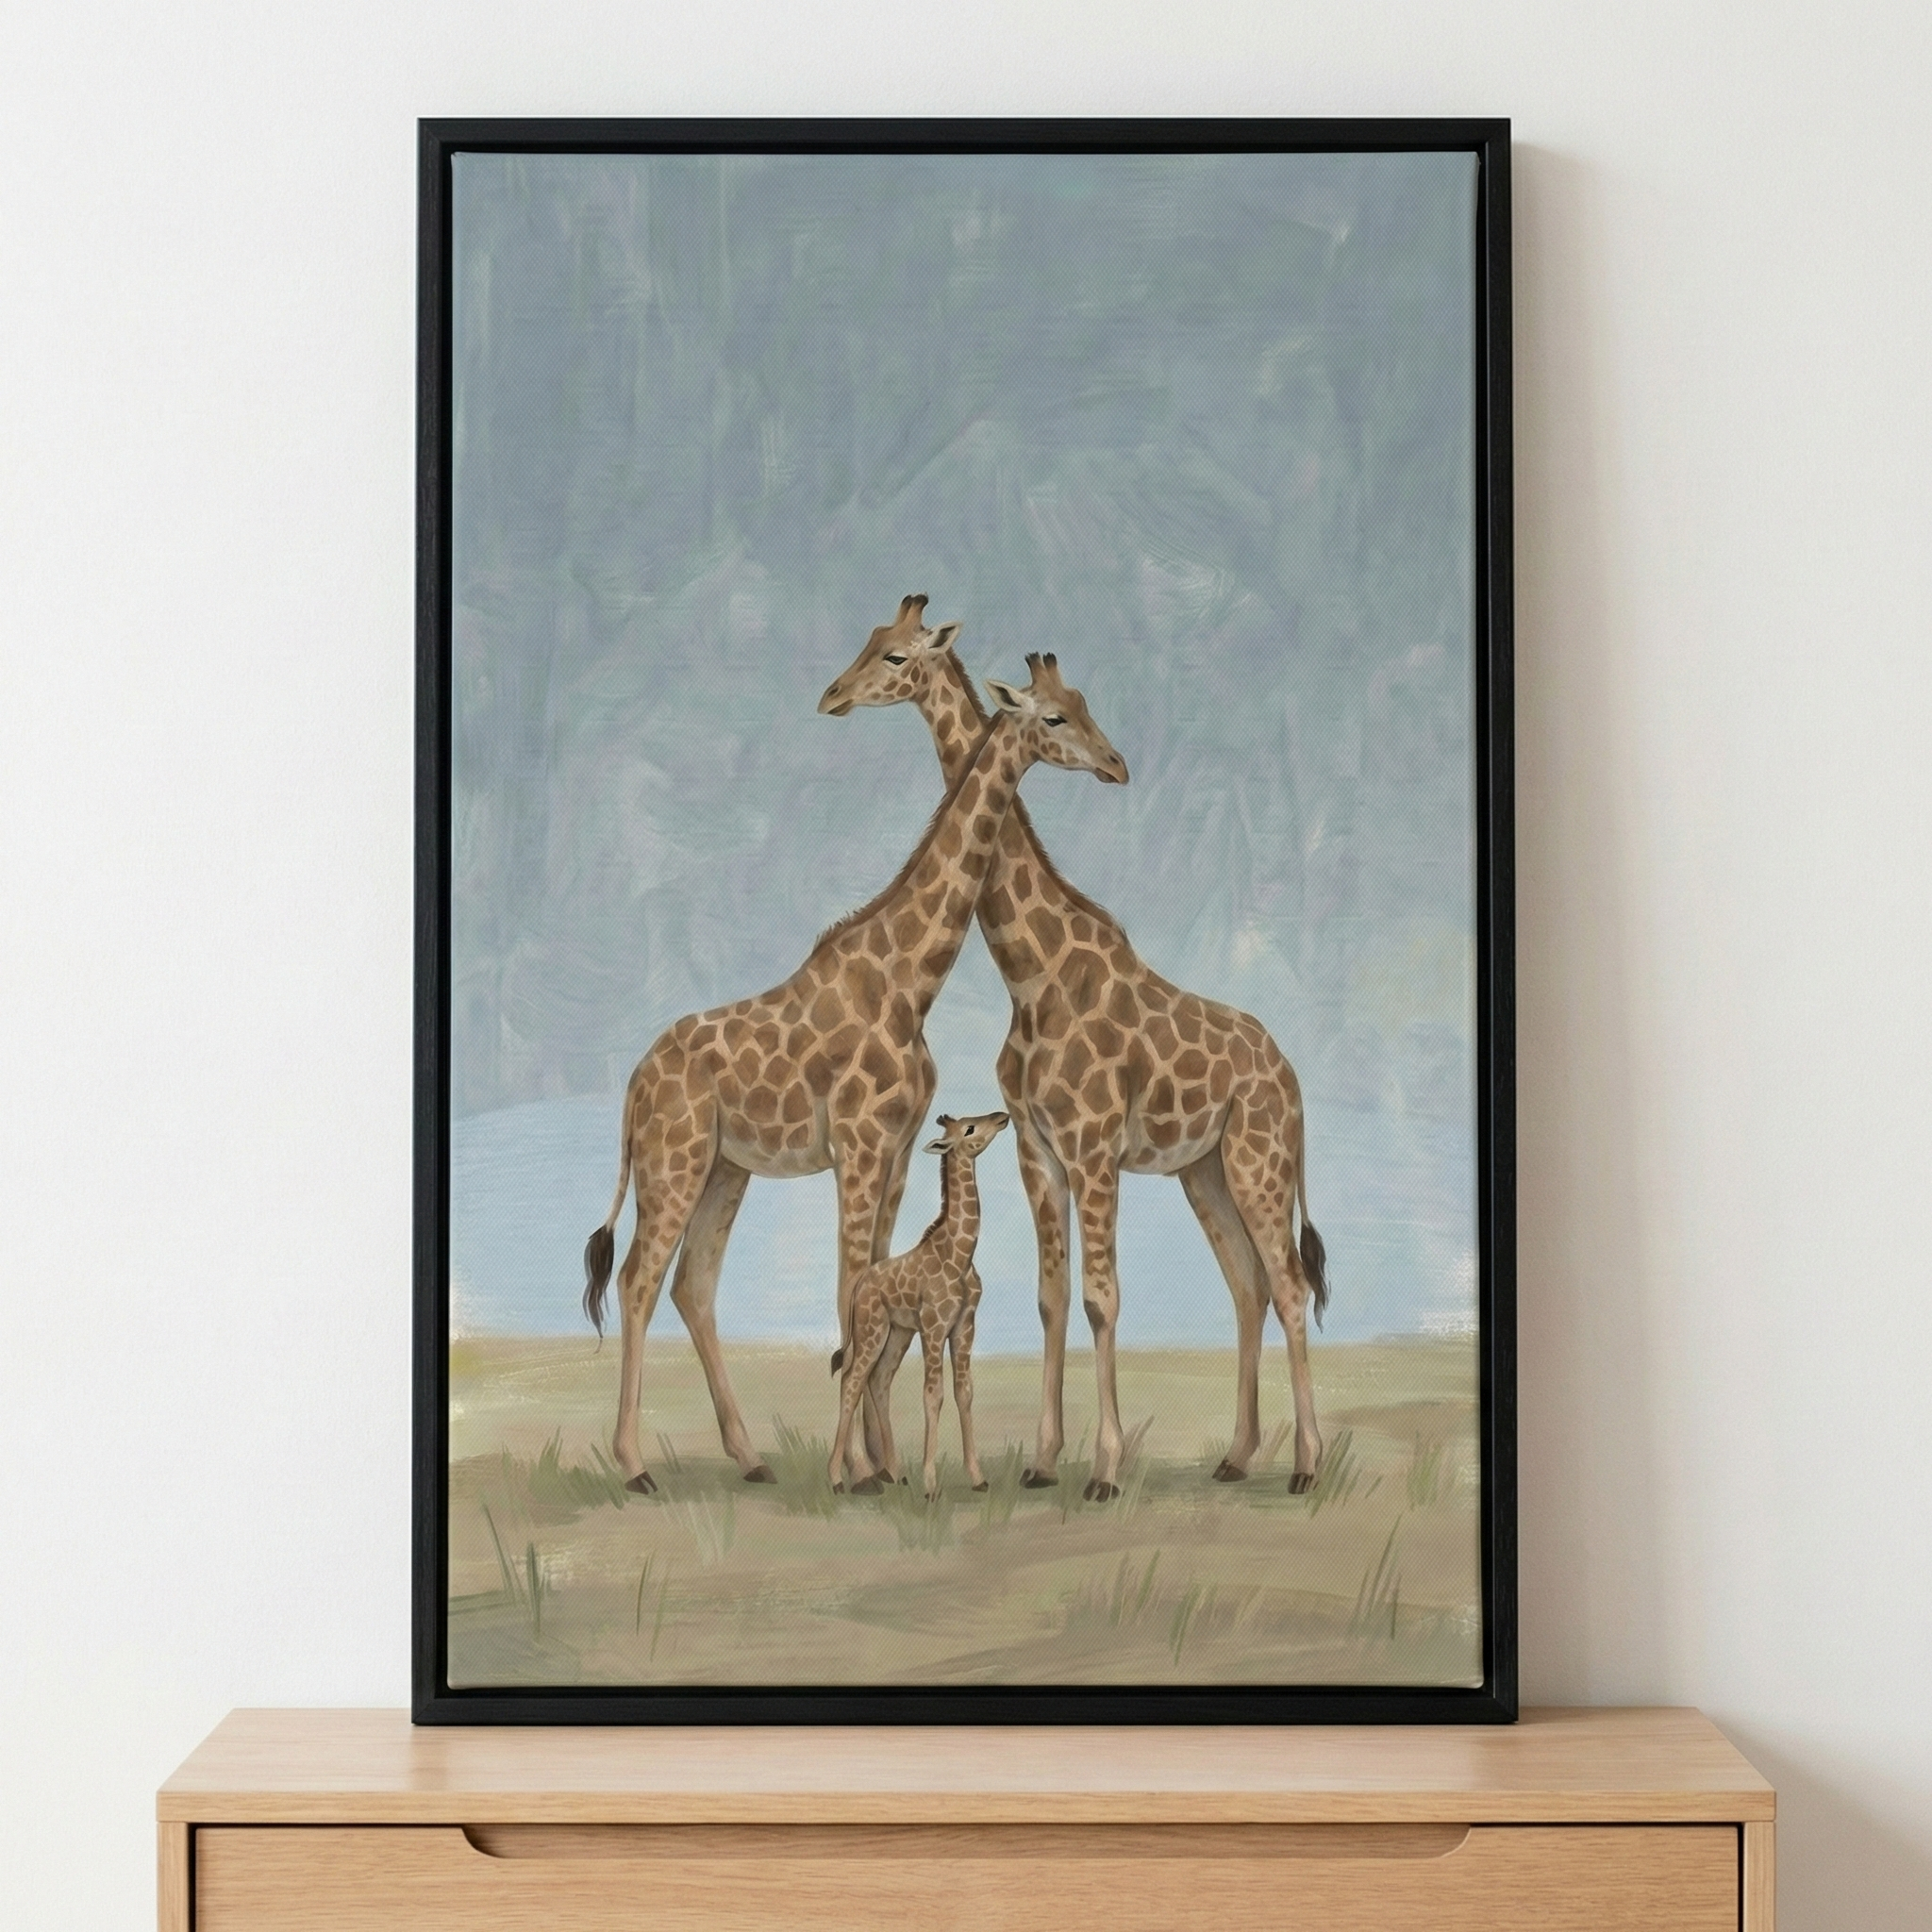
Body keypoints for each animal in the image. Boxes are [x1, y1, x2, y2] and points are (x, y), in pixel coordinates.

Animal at [828, 1110, 1009, 1501]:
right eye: (970, 1128)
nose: (1002, 1116)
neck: (960, 1255)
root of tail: (858, 1286)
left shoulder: (964, 1326)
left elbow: (964, 1393)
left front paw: (978, 1478)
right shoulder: (934, 1325)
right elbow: (933, 1395)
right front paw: (931, 1486)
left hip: (898, 1332)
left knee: (879, 1380)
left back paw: (895, 1473)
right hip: (872, 1329)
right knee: (851, 1380)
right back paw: (837, 1479)